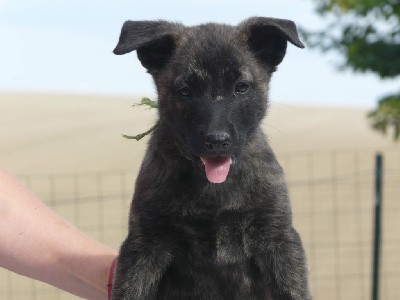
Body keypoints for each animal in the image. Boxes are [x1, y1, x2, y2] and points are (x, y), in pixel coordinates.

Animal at [111, 17, 310, 300]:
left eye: (241, 87)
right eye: (185, 90)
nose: (217, 141)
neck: (213, 190)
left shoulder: (278, 239)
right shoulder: (144, 245)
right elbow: (130, 290)